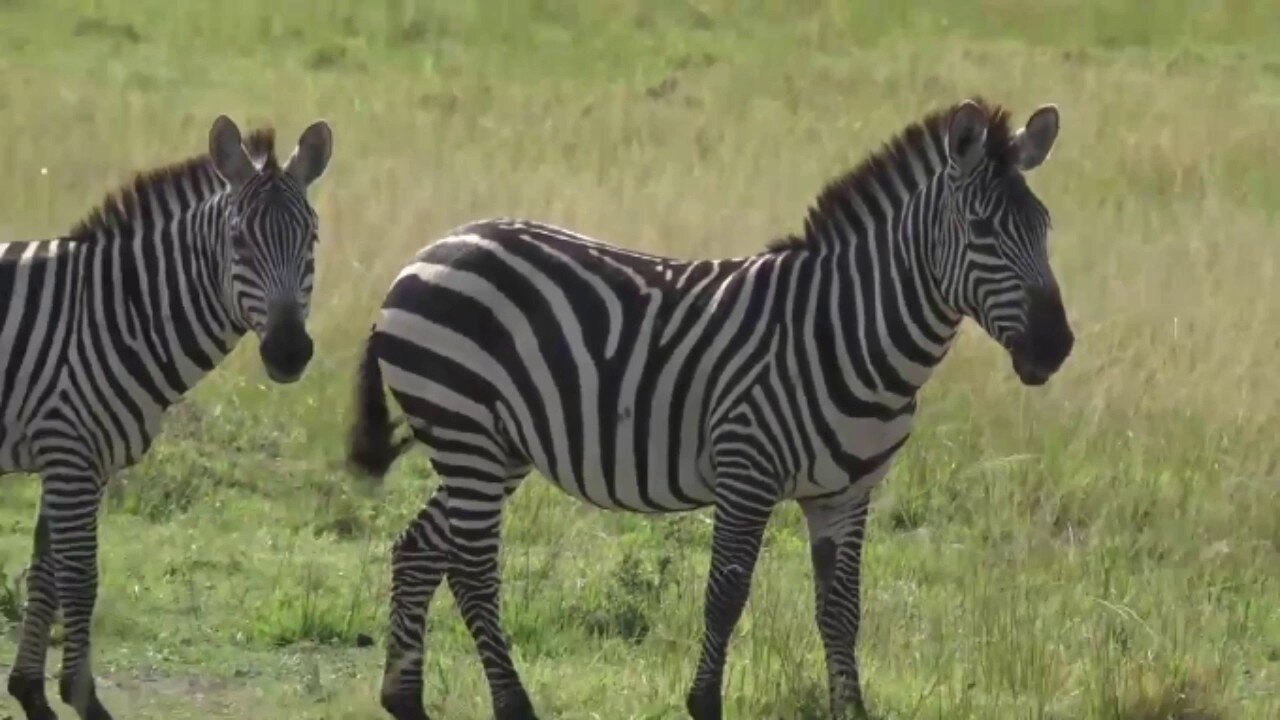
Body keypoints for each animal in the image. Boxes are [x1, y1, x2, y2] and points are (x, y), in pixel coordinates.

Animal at [0, 114, 335, 712]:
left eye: (312, 239)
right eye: (237, 240)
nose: (289, 351)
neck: (114, 312)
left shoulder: (75, 459)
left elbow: (46, 572)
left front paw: (31, 693)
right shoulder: (69, 452)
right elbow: (79, 578)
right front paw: (82, 698)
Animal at [348, 96, 1070, 717]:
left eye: (1044, 227)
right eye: (981, 229)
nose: (1056, 347)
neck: (846, 330)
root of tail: (428, 252)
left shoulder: (846, 492)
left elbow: (842, 610)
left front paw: (852, 709)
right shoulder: (746, 470)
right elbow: (725, 595)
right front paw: (704, 702)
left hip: (494, 448)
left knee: (418, 548)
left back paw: (404, 699)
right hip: (465, 429)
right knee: (471, 570)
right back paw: (512, 705)